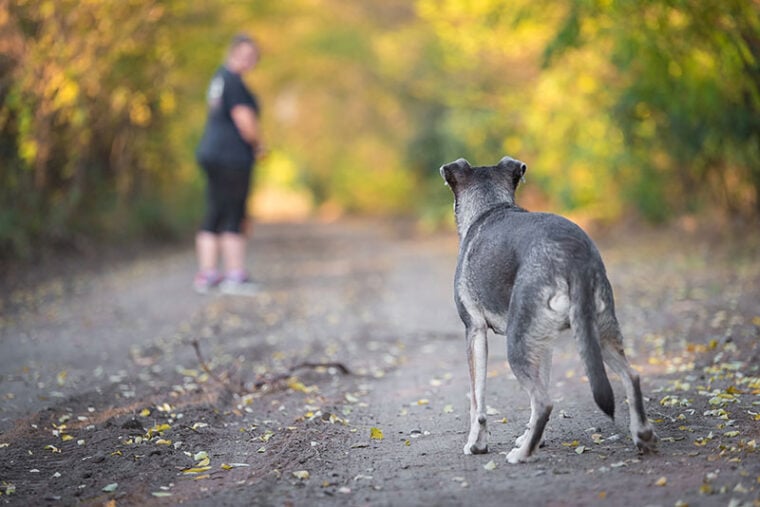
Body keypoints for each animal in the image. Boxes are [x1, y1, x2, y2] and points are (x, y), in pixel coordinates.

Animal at [440, 158, 660, 464]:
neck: (490, 207)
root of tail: (573, 255)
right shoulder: (544, 341)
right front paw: (533, 438)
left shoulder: (474, 330)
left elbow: (477, 400)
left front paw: (477, 444)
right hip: (595, 333)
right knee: (632, 376)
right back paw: (643, 435)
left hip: (517, 344)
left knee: (544, 401)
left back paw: (521, 455)